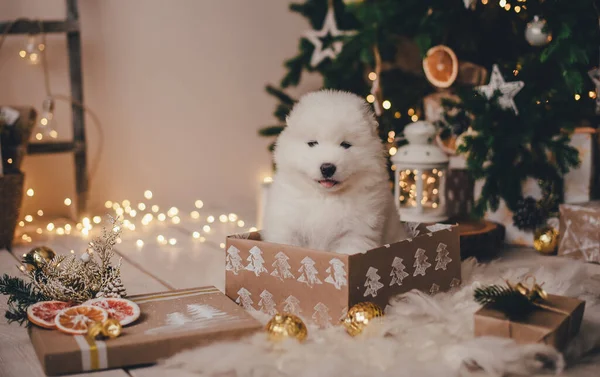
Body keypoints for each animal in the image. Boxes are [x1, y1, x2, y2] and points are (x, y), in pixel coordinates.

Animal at [262, 89, 408, 254]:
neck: (325, 198)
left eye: (345, 145)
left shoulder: (355, 236)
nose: (327, 168)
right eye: (312, 143)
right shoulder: (287, 229)